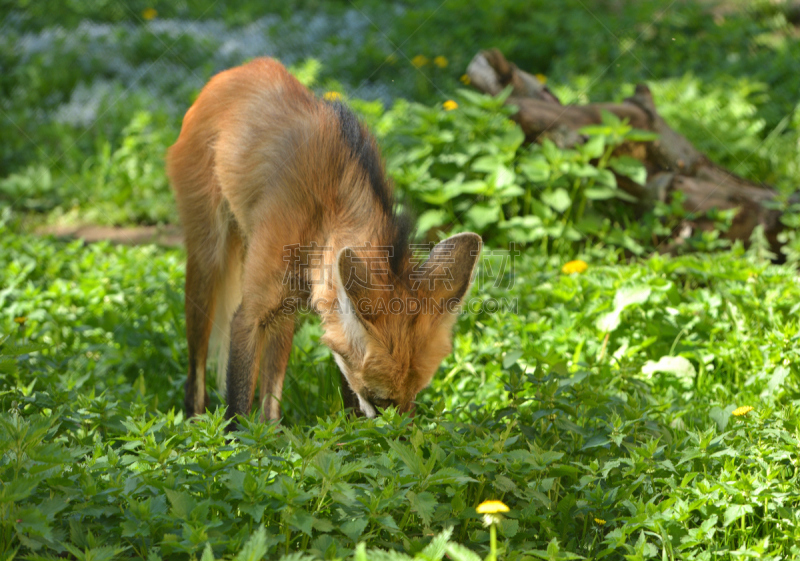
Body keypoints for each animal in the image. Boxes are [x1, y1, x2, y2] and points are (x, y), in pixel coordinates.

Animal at [167, 58, 482, 424]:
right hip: (208, 266)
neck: (325, 213)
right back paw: (195, 424)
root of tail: (233, 72)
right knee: (195, 375)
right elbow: (239, 411)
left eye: (414, 397)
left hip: (283, 309)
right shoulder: (249, 315)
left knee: (270, 399)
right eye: (382, 399)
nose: (399, 434)